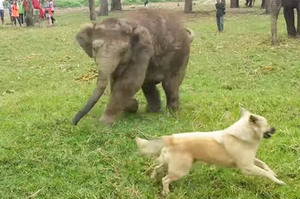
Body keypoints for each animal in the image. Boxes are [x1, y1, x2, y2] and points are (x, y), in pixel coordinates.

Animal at [136, 108, 286, 195]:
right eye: (267, 124)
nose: (275, 128)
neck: (244, 134)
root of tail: (170, 139)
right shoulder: (248, 167)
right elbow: (265, 173)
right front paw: (279, 182)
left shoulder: (251, 160)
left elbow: (264, 165)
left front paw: (274, 173)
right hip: (180, 170)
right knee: (165, 179)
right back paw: (166, 192)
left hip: (169, 164)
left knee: (157, 168)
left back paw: (152, 179)